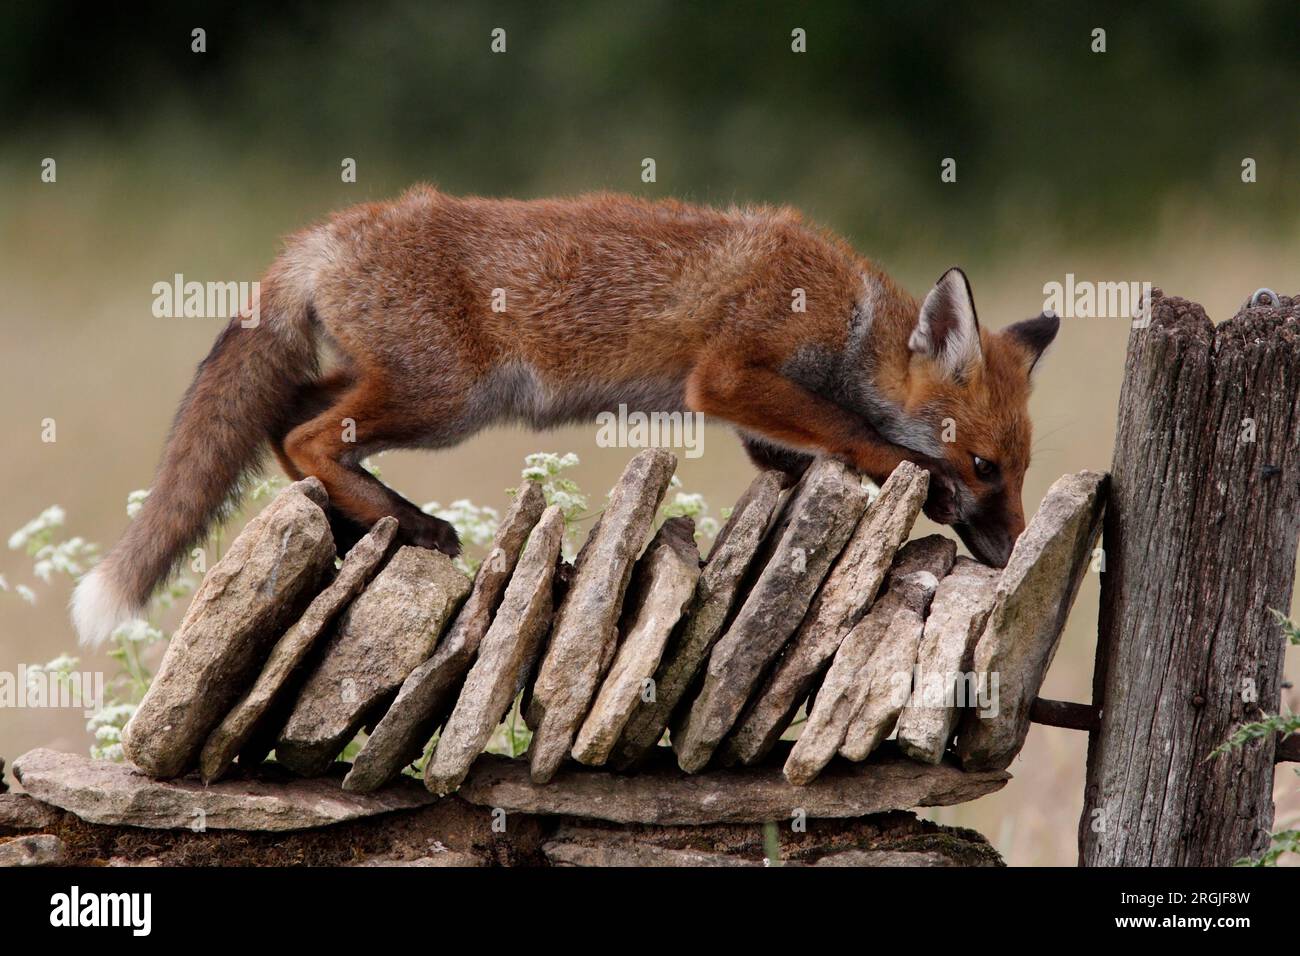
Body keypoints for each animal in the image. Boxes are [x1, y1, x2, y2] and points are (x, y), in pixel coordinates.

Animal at [72, 185, 1058, 646]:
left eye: (1021, 473)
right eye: (985, 468)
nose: (1014, 551)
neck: (849, 318)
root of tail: (326, 232)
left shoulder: (750, 411)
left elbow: (792, 454)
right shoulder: (726, 374)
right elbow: (850, 432)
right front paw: (905, 472)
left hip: (396, 390)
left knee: (283, 424)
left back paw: (371, 519)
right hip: (445, 401)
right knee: (306, 433)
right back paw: (408, 522)